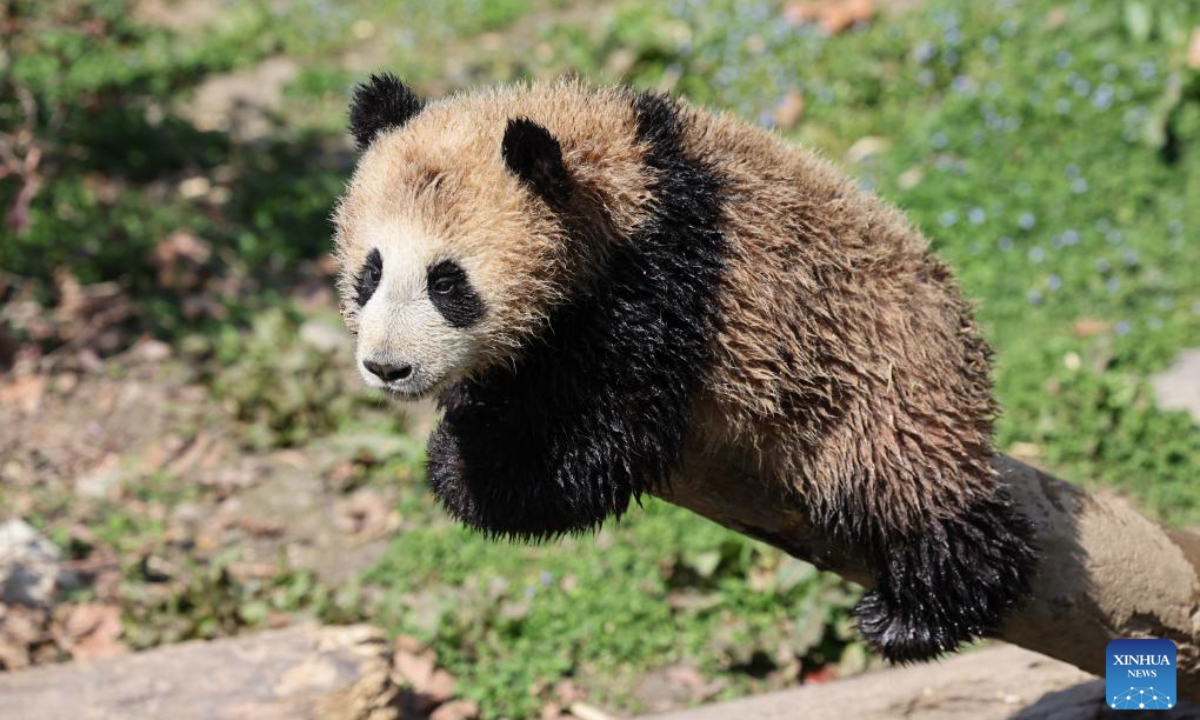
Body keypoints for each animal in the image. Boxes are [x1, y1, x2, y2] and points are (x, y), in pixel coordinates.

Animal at [332, 75, 1038, 663]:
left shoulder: (670, 279)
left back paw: (916, 614)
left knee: (914, 490)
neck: (624, 167)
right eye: (371, 272)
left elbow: (612, 434)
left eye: (447, 283)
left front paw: (463, 465)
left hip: (884, 377)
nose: (388, 367)